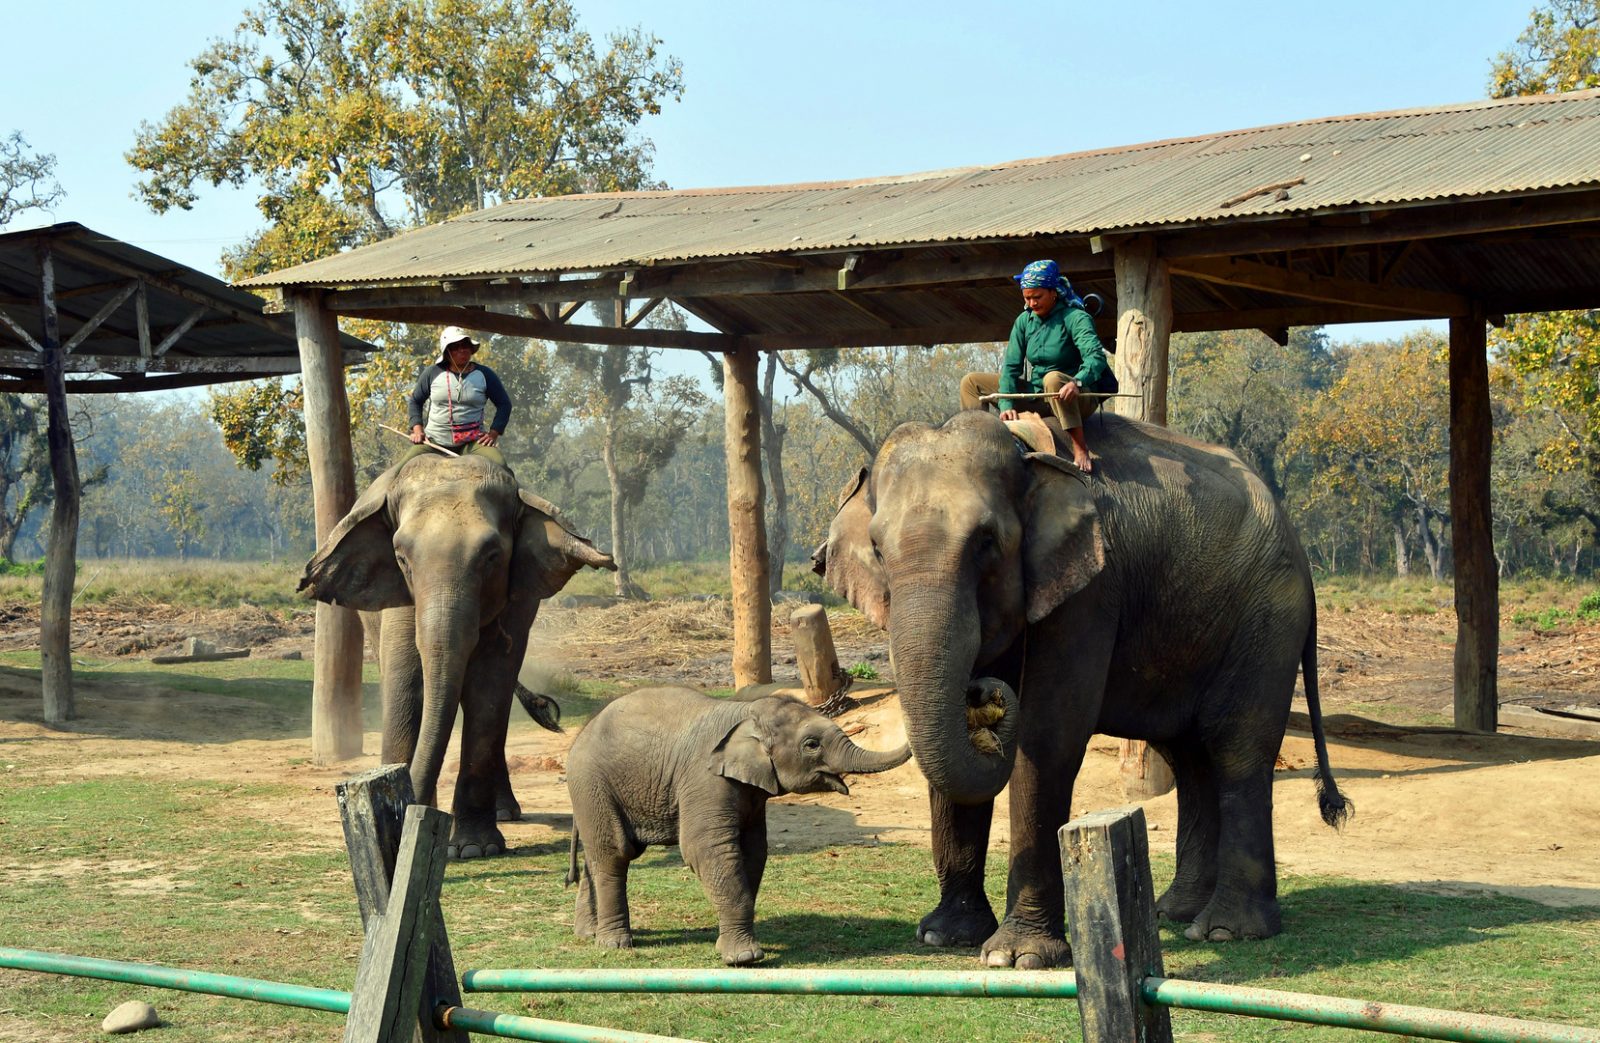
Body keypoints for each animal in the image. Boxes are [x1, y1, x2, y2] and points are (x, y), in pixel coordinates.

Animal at [300, 453, 615, 858]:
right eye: (402, 558)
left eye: (492, 557)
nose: (404, 819)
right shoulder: (398, 596)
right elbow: (407, 684)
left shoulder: (517, 600)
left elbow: (488, 688)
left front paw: (474, 848)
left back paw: (504, 812)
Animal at [564, 685, 912, 966]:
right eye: (812, 744)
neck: (748, 713)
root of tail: (582, 732)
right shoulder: (704, 779)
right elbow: (707, 848)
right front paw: (744, 958)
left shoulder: (752, 792)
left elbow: (754, 851)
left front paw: (728, 945)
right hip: (592, 783)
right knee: (614, 853)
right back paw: (614, 944)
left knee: (597, 855)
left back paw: (587, 934)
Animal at [815, 409, 1350, 969]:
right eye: (878, 549)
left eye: (987, 542)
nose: (981, 691)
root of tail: (1300, 547)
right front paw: (946, 936)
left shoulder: (1090, 591)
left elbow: (1047, 739)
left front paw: (1016, 957)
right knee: (1190, 756)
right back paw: (1174, 914)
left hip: (1268, 619)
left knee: (1237, 749)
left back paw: (1227, 930)